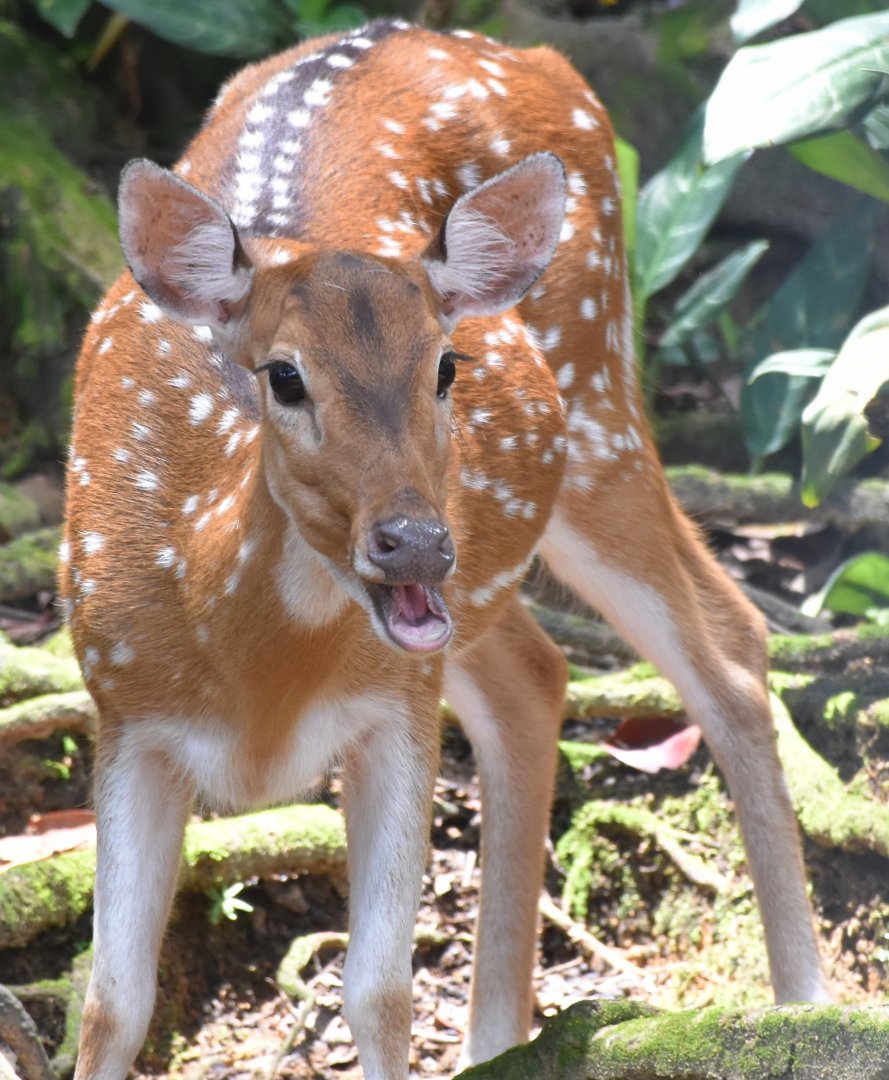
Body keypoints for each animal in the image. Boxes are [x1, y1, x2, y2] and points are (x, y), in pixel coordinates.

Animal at [62, 17, 829, 1080]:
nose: (415, 543)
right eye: (284, 375)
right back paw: (496, 1042)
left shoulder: (396, 706)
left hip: (598, 410)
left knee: (728, 644)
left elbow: (377, 994)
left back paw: (805, 1009)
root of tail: (538, 57)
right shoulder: (124, 707)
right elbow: (112, 1004)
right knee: (539, 675)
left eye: (446, 366)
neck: (256, 684)